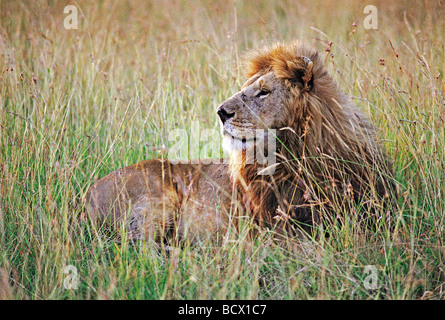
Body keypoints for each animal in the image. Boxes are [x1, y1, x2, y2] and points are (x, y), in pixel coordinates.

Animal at [85, 40, 394, 242]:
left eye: (264, 92)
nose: (221, 112)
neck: (297, 157)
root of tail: (86, 196)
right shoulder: (274, 229)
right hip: (154, 202)